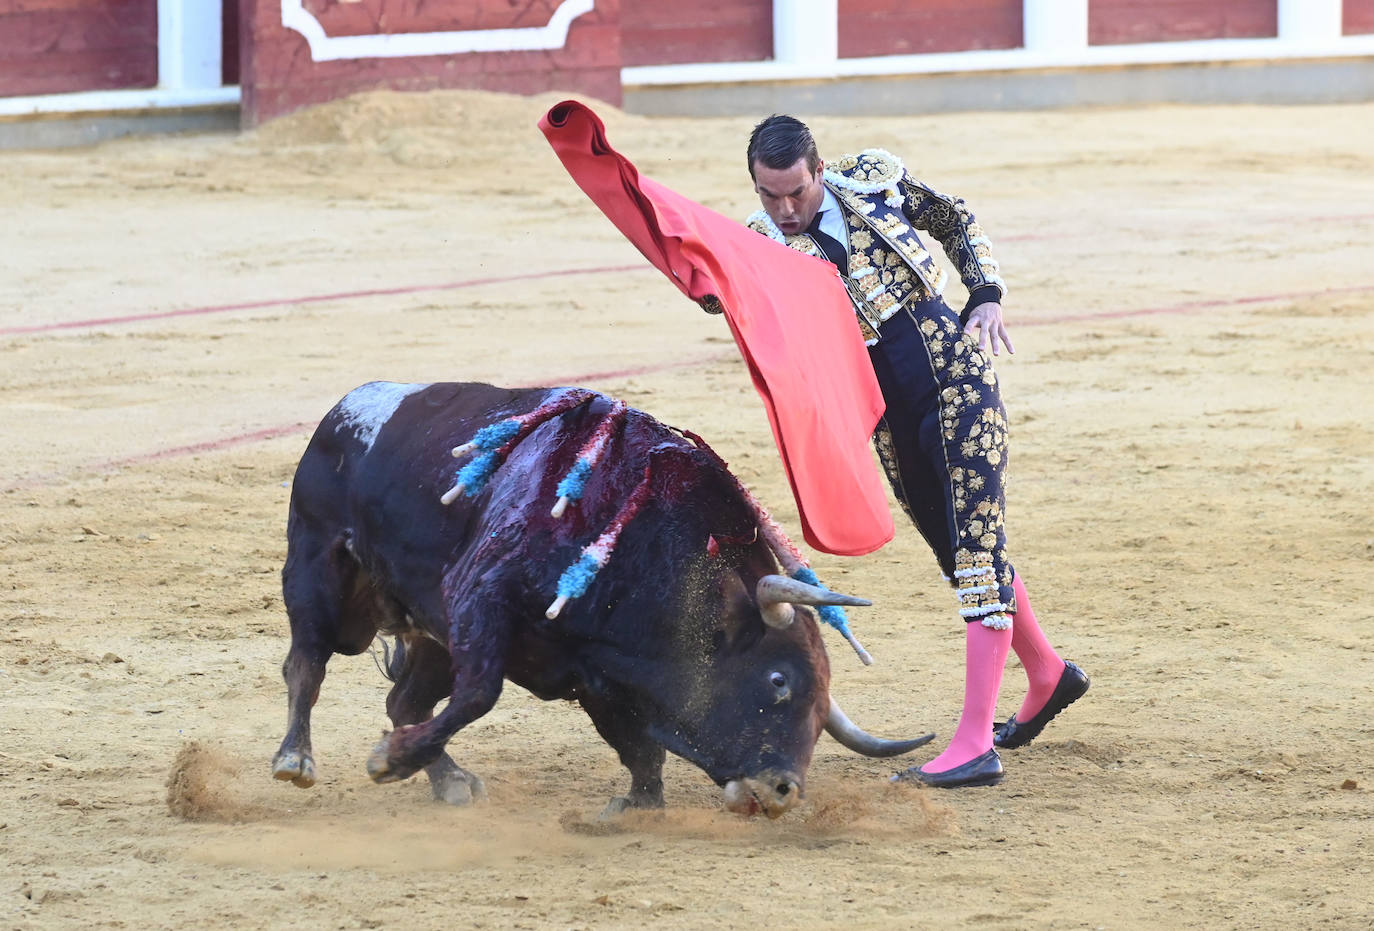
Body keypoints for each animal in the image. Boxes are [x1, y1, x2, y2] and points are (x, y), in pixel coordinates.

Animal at [272, 381, 928, 818]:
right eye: (778, 680)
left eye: (820, 712)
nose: (784, 791)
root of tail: (347, 406)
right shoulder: (479, 600)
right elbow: (480, 695)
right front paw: (385, 762)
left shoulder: (597, 672)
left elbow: (639, 748)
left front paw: (635, 805)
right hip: (319, 572)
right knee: (307, 663)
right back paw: (295, 760)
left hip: (430, 634)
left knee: (404, 700)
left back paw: (449, 780)